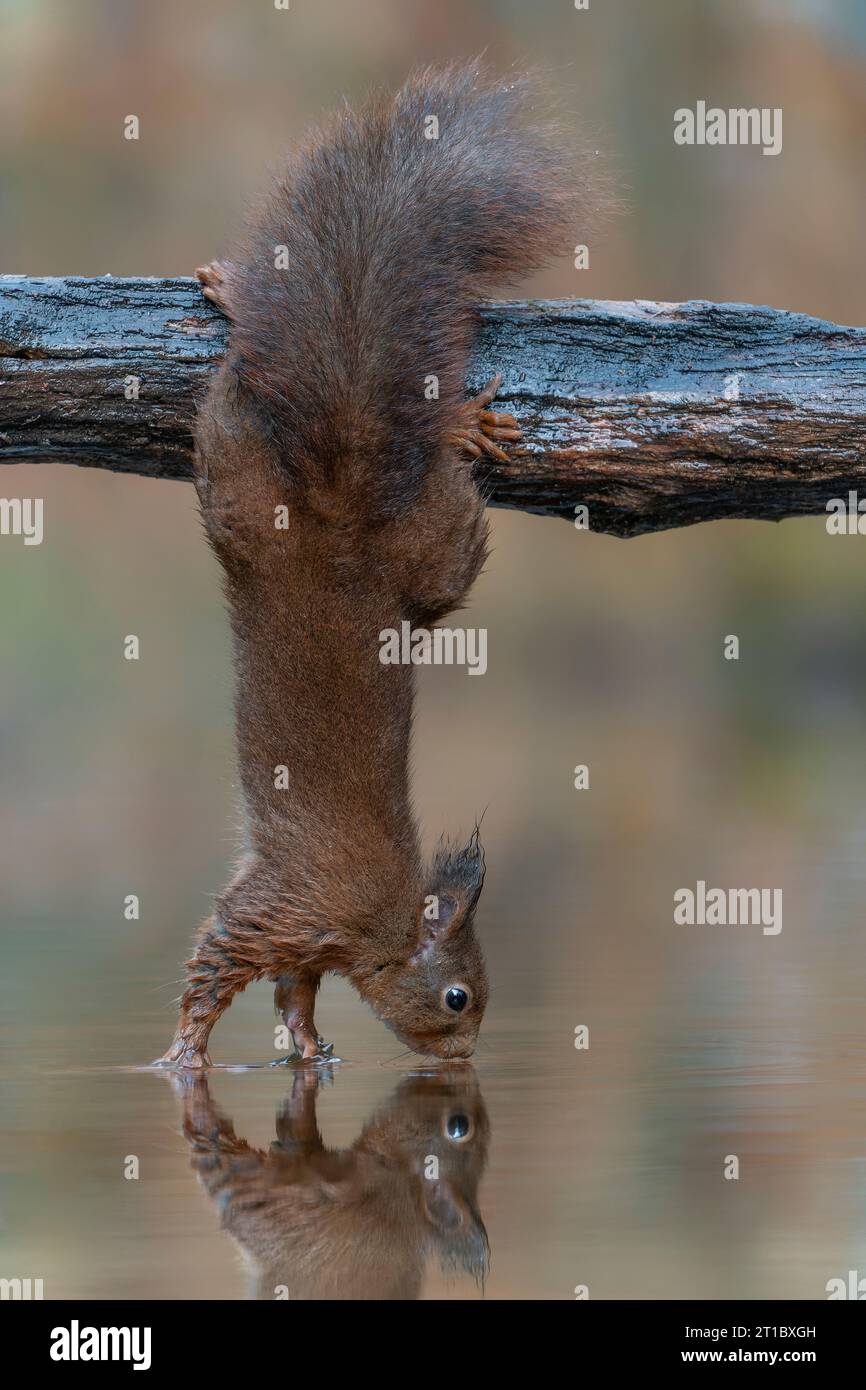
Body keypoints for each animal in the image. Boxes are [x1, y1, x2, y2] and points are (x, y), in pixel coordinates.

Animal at [157, 59, 594, 1067]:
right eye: (458, 997)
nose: (465, 1060)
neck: (385, 922)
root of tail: (338, 507)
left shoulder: (306, 941)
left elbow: (297, 991)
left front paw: (310, 1046)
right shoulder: (287, 906)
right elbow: (216, 968)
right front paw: (184, 1053)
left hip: (389, 558)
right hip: (265, 498)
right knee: (235, 404)